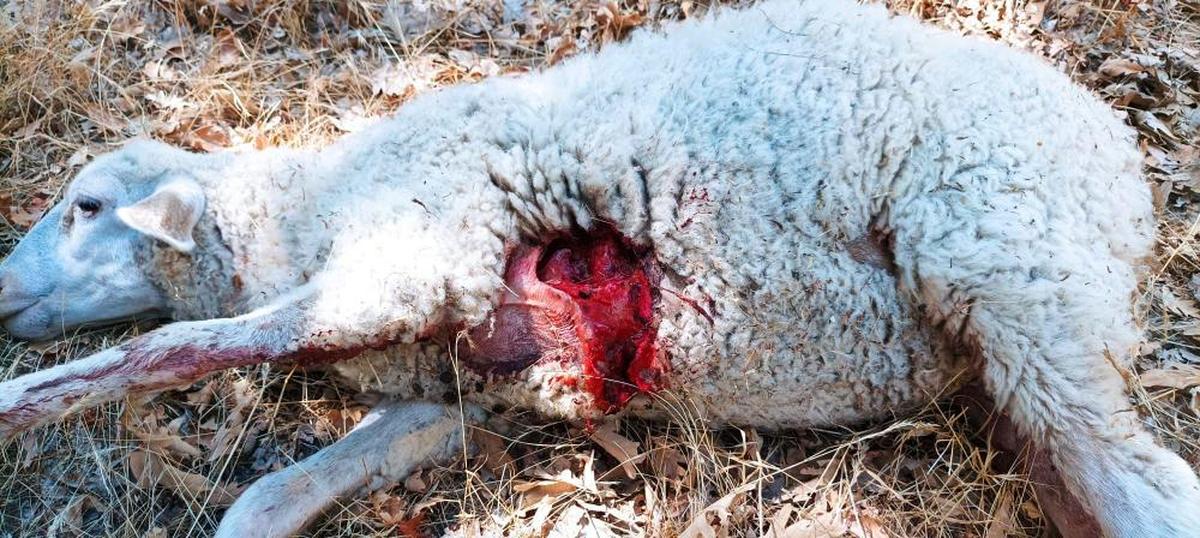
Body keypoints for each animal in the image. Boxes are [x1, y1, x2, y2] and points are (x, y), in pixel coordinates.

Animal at [2, 1, 1200, 538]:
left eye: (87, 206)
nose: (4, 294)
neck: (303, 217)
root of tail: (1125, 171)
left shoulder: (418, 252)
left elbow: (177, 342)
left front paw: (24, 404)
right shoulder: (445, 394)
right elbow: (275, 489)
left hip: (1012, 266)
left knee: (1145, 490)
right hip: (1023, 348)